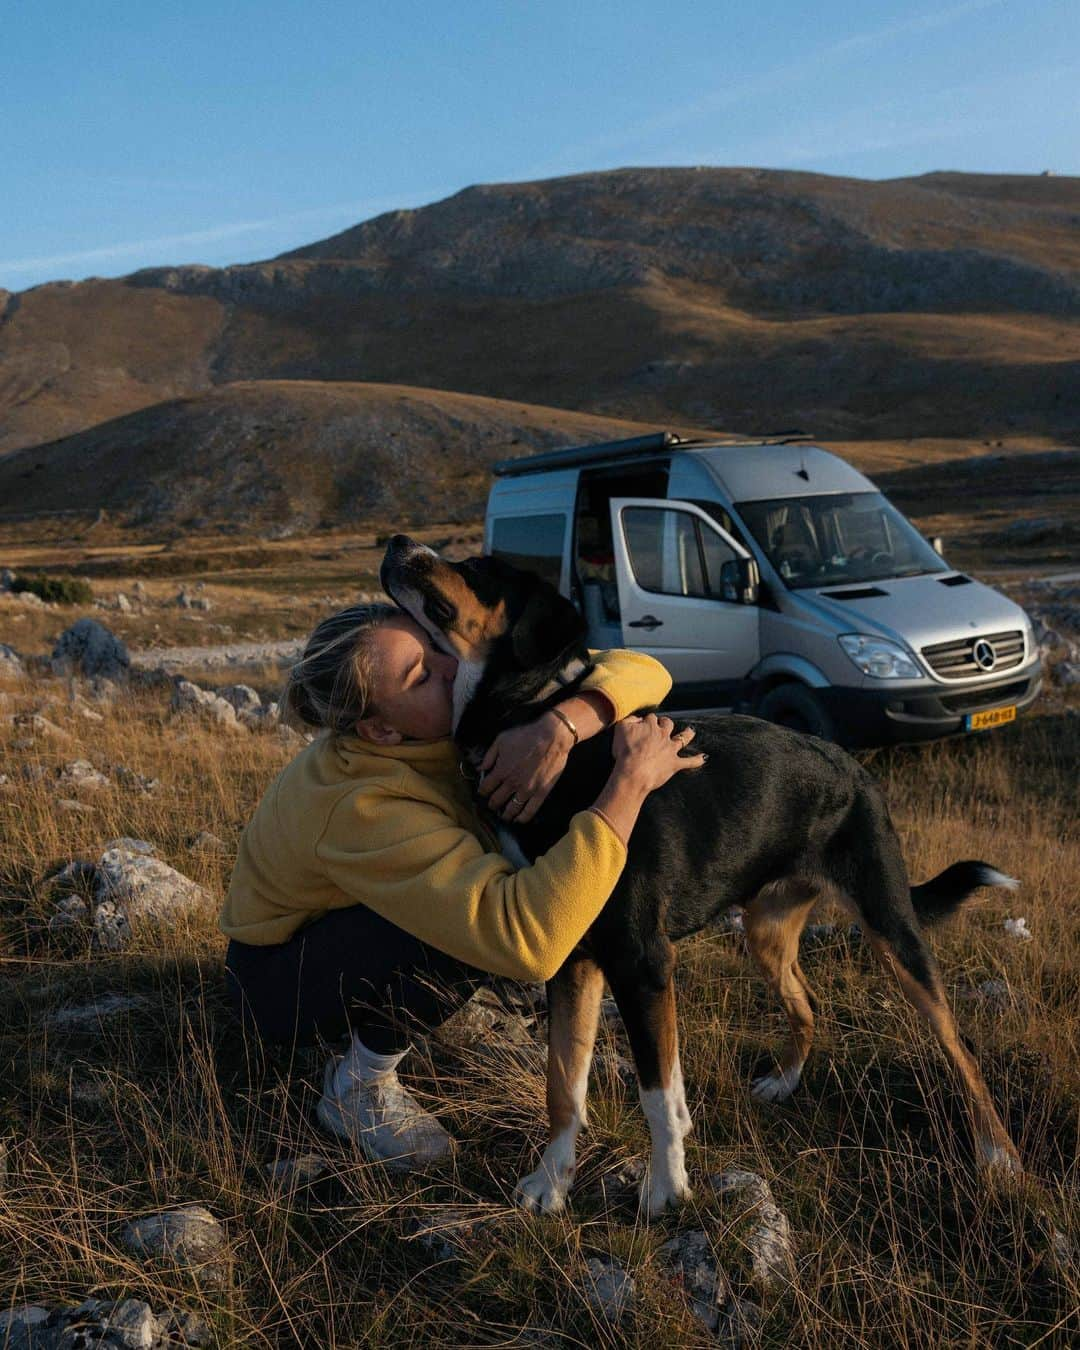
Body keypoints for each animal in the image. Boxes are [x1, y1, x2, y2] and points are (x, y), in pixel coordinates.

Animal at [380, 531, 1020, 1220]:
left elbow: (656, 1094)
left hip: (892, 930)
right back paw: (784, 1081)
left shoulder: (642, 959)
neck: (532, 722)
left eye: (475, 567)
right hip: (765, 932)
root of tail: (857, 770)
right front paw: (551, 1181)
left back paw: (999, 1156)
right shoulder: (572, 959)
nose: (395, 542)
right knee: (808, 1002)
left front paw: (667, 1188)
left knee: (961, 1048)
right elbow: (564, 1084)